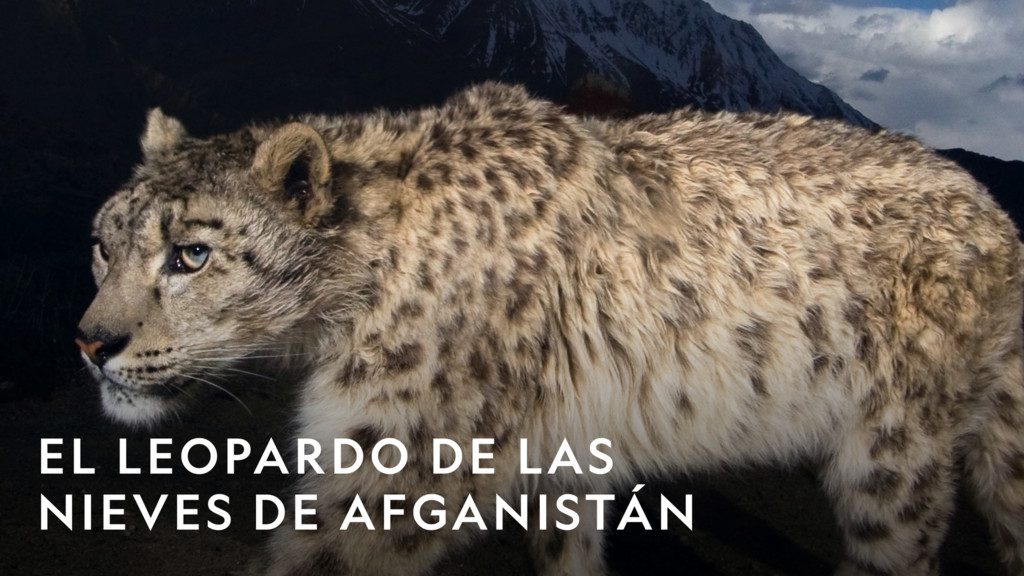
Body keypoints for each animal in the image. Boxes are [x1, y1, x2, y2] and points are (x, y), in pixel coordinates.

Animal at [77, 82, 1024, 575]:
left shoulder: (400, 466)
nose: (91, 343)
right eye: (102, 242)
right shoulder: (559, 465)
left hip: (894, 450)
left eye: (191, 254)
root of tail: (996, 213)